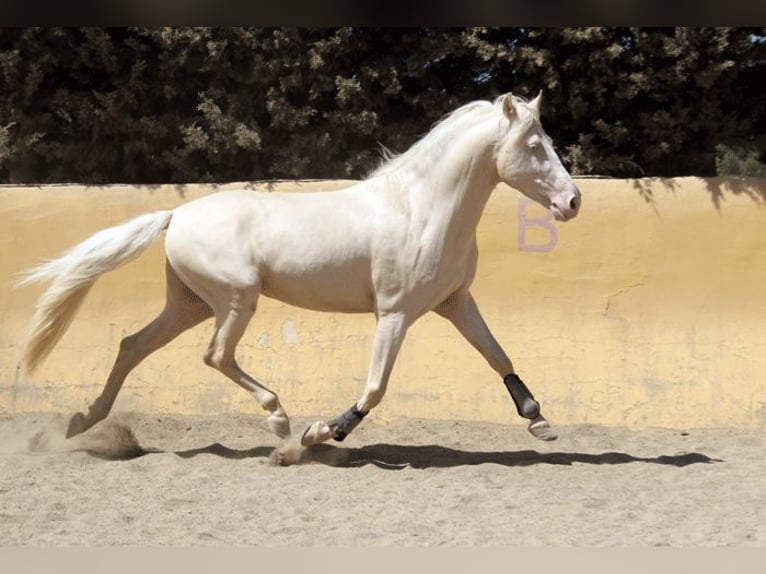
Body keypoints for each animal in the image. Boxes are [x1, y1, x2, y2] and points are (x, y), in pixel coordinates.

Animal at [16, 93, 584, 454]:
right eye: (535, 146)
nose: (572, 202)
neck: (420, 209)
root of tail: (176, 214)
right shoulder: (395, 313)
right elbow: (375, 387)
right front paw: (322, 433)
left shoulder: (456, 303)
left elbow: (498, 355)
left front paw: (539, 420)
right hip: (236, 299)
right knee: (215, 354)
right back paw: (280, 421)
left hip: (190, 304)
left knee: (132, 346)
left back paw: (81, 422)